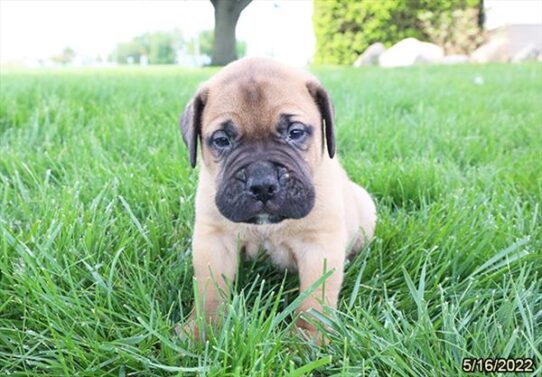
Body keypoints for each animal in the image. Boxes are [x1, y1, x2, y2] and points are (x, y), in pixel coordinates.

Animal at [181, 57, 376, 340]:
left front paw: (308, 338)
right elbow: (210, 291)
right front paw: (201, 332)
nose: (262, 184)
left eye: (295, 133)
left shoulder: (319, 246)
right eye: (222, 140)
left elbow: (315, 300)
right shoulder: (214, 241)